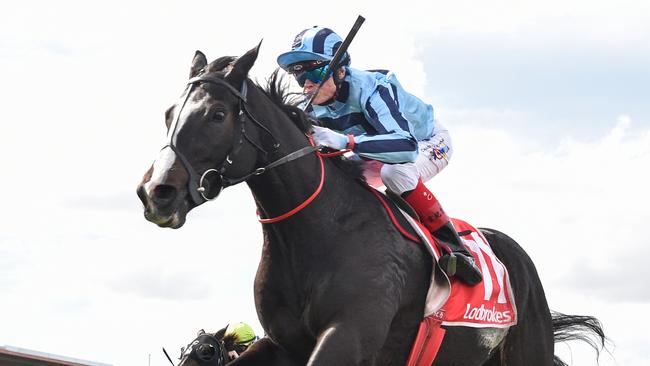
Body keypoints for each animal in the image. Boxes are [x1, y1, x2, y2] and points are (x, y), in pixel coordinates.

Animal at [135, 44, 604, 364]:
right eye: (168, 113)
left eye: (216, 115)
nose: (157, 192)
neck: (319, 231)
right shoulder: (284, 343)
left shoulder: (349, 335)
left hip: (527, 349)